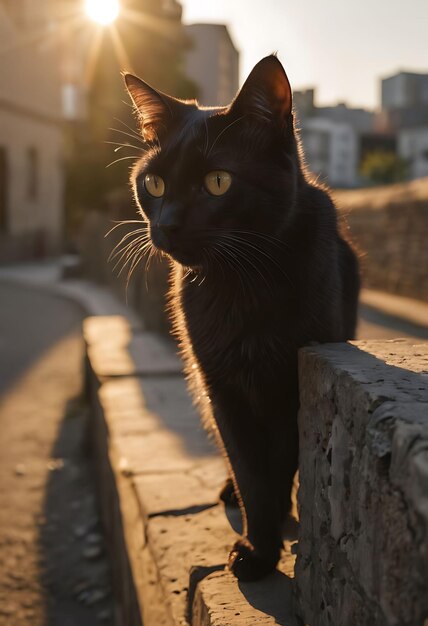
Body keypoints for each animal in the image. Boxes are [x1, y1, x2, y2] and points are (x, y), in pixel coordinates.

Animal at [124, 56, 362, 584]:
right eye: (154, 184)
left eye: (218, 181)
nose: (166, 224)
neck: (241, 284)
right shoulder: (221, 385)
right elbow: (249, 468)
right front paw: (258, 546)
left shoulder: (294, 384)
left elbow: (278, 463)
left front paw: (266, 542)